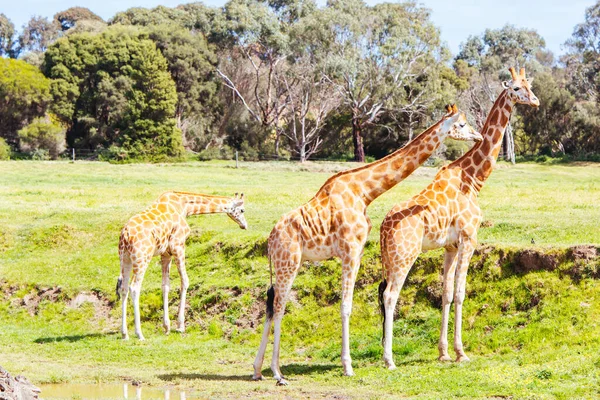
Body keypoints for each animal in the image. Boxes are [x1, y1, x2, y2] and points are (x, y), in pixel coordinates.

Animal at [116, 191, 247, 340]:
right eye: (242, 210)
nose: (245, 225)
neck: (184, 206)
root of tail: (126, 234)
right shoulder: (178, 246)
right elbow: (185, 281)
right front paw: (180, 326)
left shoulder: (166, 253)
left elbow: (165, 286)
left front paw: (166, 327)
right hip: (142, 258)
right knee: (134, 288)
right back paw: (139, 334)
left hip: (124, 258)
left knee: (123, 288)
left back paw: (124, 334)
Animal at [253, 104, 482, 384]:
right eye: (461, 125)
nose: (478, 136)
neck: (365, 192)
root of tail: (269, 239)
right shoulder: (350, 249)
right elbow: (346, 306)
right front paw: (348, 366)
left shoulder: (359, 251)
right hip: (289, 262)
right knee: (279, 305)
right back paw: (277, 372)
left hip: (284, 264)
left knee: (271, 303)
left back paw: (257, 369)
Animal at [378, 66, 540, 368]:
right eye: (515, 88)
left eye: (529, 85)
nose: (535, 101)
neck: (473, 179)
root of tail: (382, 228)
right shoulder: (469, 238)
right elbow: (461, 293)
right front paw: (461, 352)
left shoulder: (450, 246)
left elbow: (445, 294)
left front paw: (443, 352)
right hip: (406, 255)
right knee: (390, 295)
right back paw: (389, 359)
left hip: (389, 258)